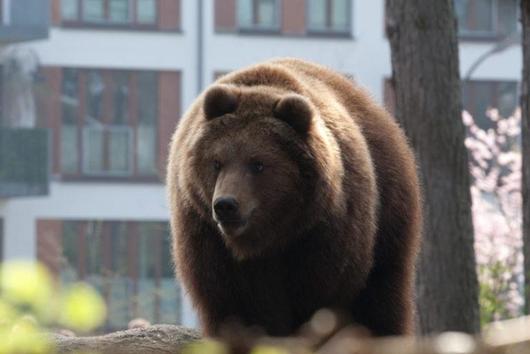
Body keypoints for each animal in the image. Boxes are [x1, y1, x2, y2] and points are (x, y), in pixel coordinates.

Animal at [166, 58, 420, 338]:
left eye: (258, 164)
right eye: (216, 162)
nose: (225, 205)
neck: (269, 238)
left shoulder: (323, 235)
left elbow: (318, 298)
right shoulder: (208, 239)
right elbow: (234, 304)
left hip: (389, 221)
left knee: (382, 295)